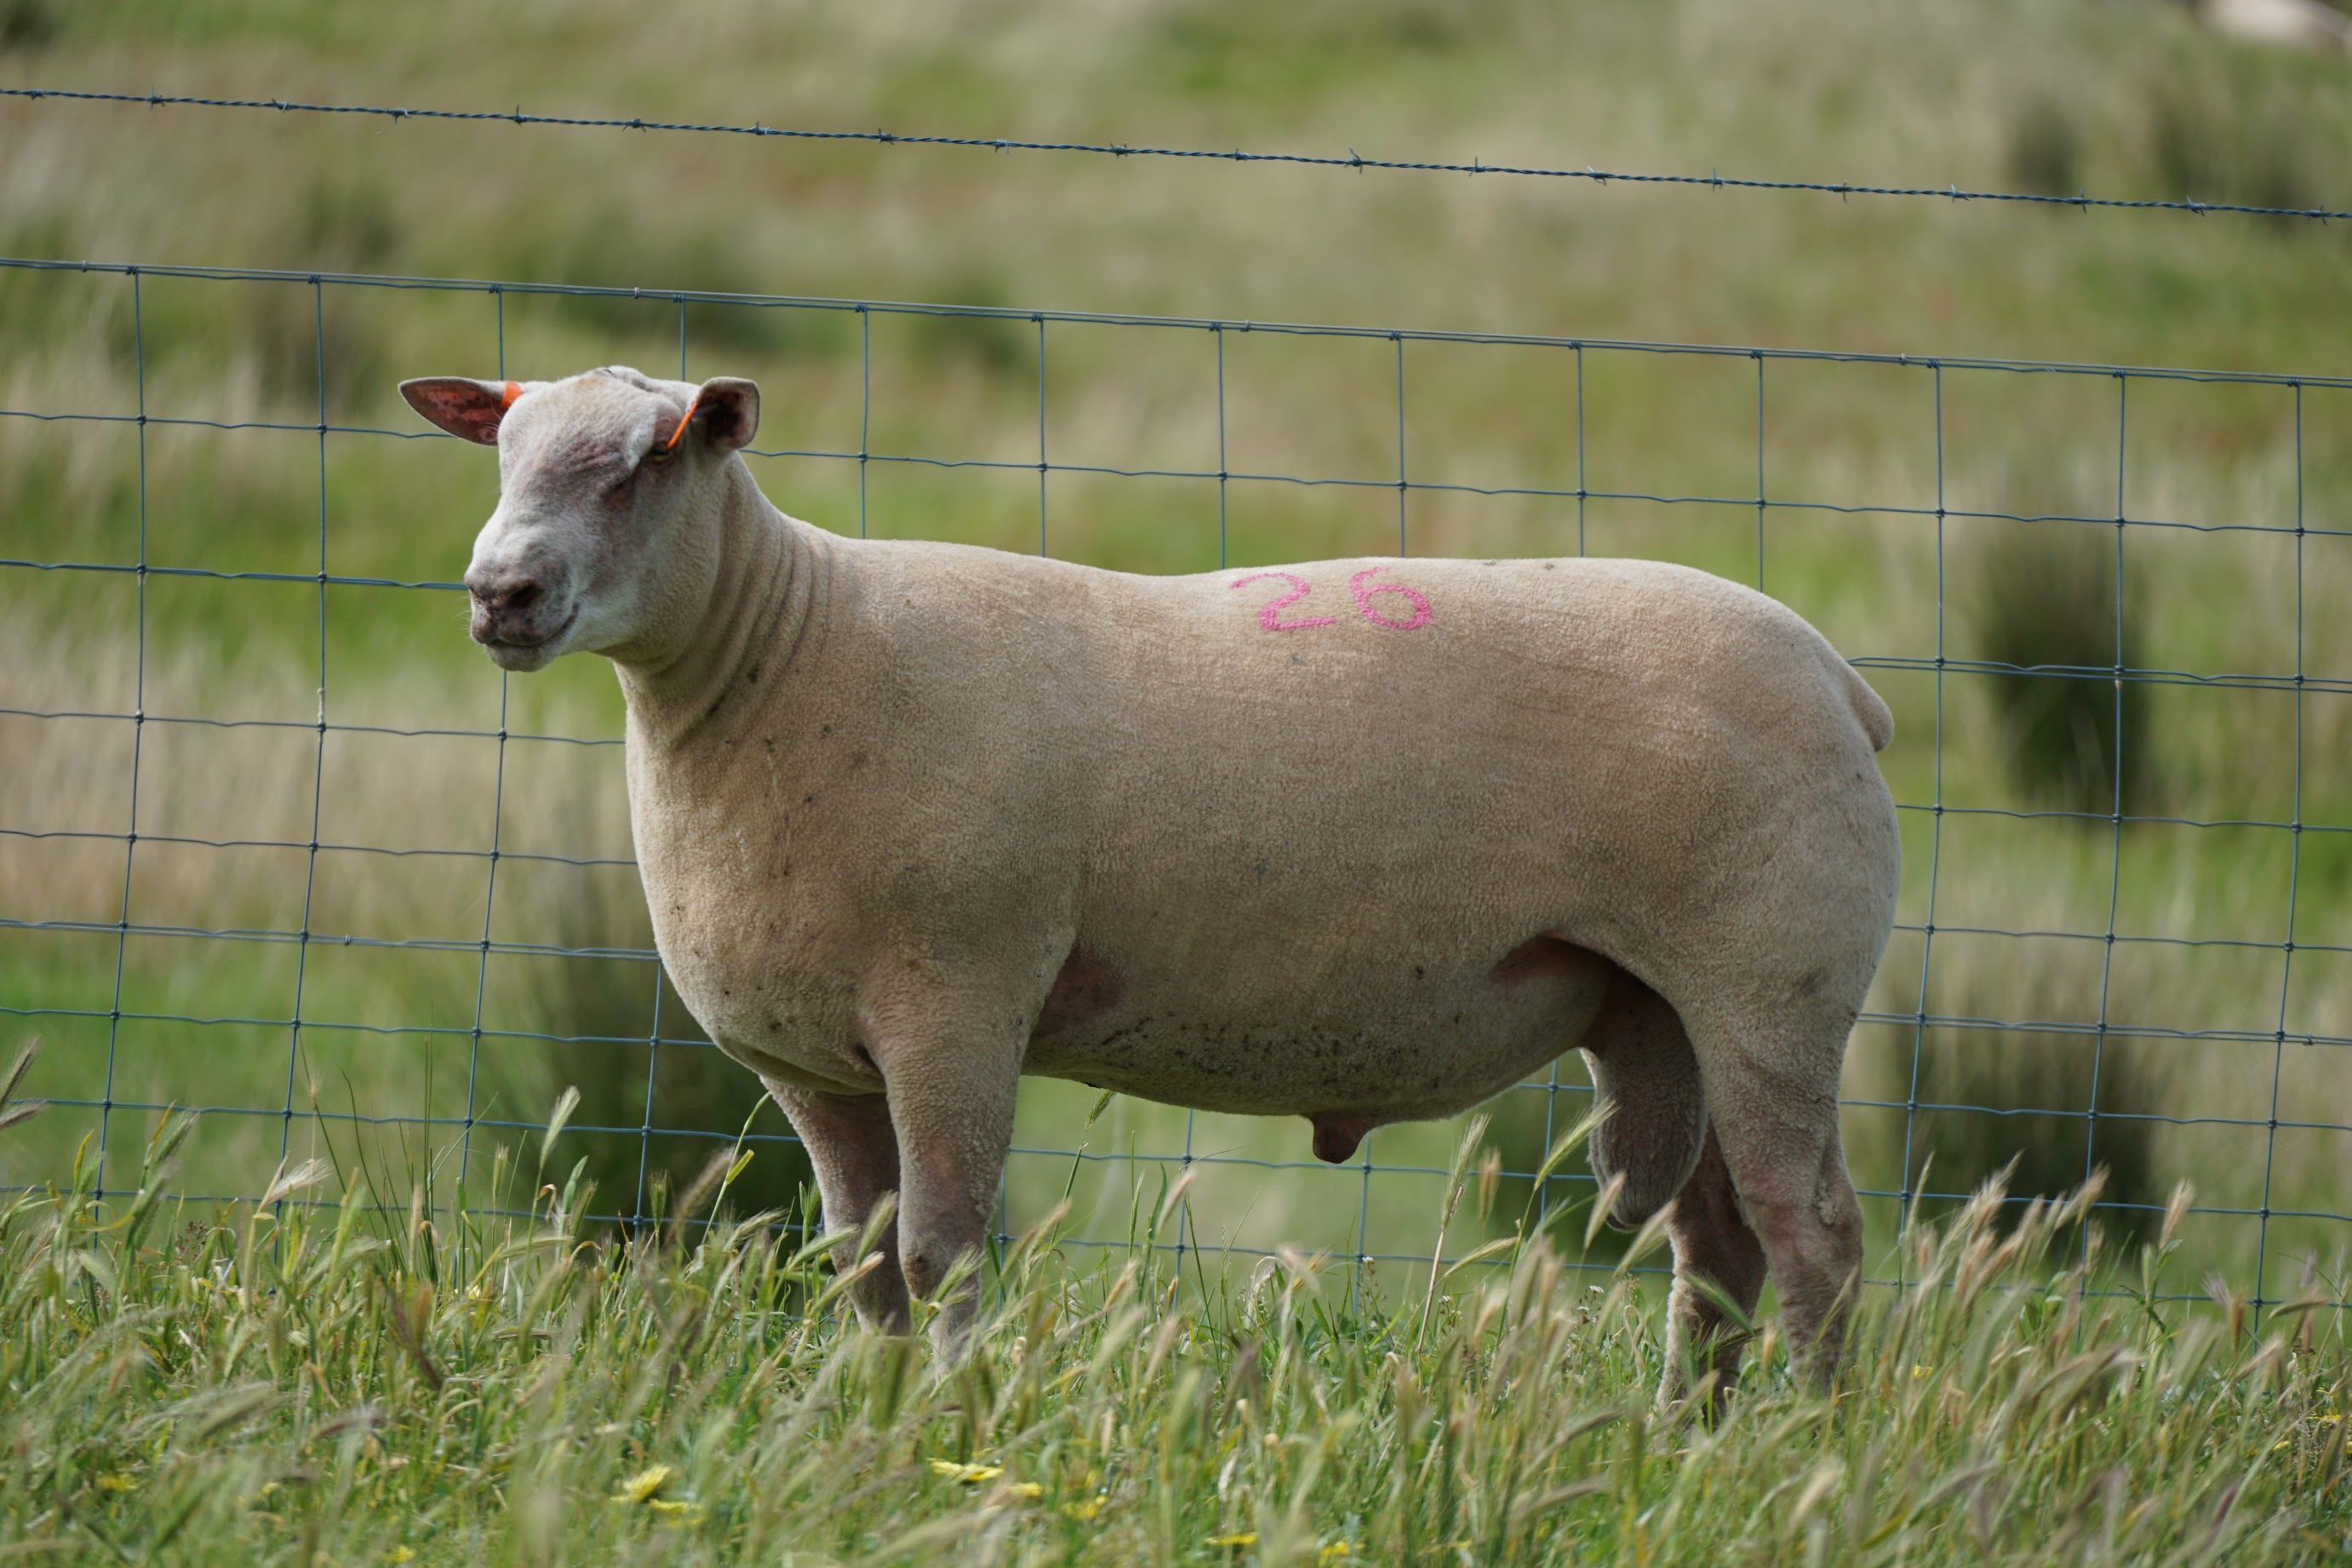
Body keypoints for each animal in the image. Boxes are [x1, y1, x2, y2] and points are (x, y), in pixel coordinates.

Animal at [404, 369, 1900, 1400]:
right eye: (502, 453)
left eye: (644, 466)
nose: (497, 594)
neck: (786, 651)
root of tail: (1839, 676)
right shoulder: (812, 1063)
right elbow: (862, 1263)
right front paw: (874, 1427)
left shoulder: (957, 1001)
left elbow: (940, 1250)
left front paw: (954, 1423)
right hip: (1660, 1007)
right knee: (1716, 1247)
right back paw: (1682, 1436)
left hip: (1769, 985)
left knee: (1811, 1232)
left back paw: (1805, 1448)